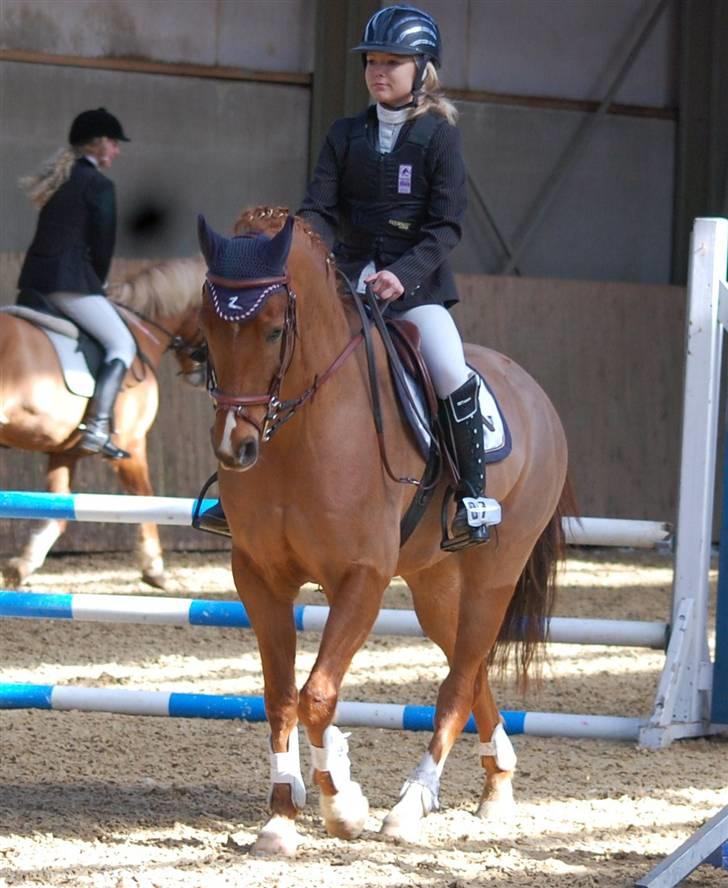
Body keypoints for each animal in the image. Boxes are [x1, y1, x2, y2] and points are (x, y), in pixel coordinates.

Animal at [0, 258, 206, 588]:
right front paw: (154, 568)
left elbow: (58, 511)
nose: (201, 374)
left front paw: (21, 566)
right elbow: (145, 498)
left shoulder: (65, 452)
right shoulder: (131, 446)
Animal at [198, 206, 568, 852]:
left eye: (272, 330)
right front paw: (281, 816)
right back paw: (496, 785)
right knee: (470, 667)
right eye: (209, 328)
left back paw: (410, 806)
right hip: (434, 585)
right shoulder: (259, 577)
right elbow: (279, 697)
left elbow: (317, 695)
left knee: (457, 682)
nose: (234, 447)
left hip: (494, 574)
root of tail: (532, 390)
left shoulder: (362, 578)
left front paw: (341, 804)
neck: (302, 433)